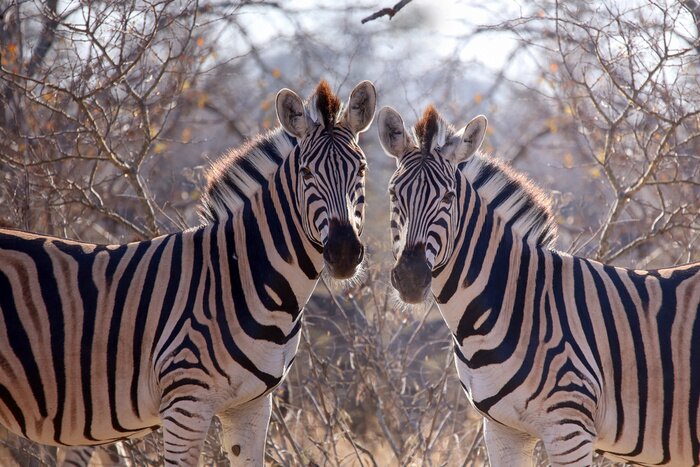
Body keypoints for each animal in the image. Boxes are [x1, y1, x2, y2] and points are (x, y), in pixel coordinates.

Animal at [0, 79, 376, 466]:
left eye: (361, 170)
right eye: (306, 173)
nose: (344, 253)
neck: (248, 280)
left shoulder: (252, 406)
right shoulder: (185, 406)